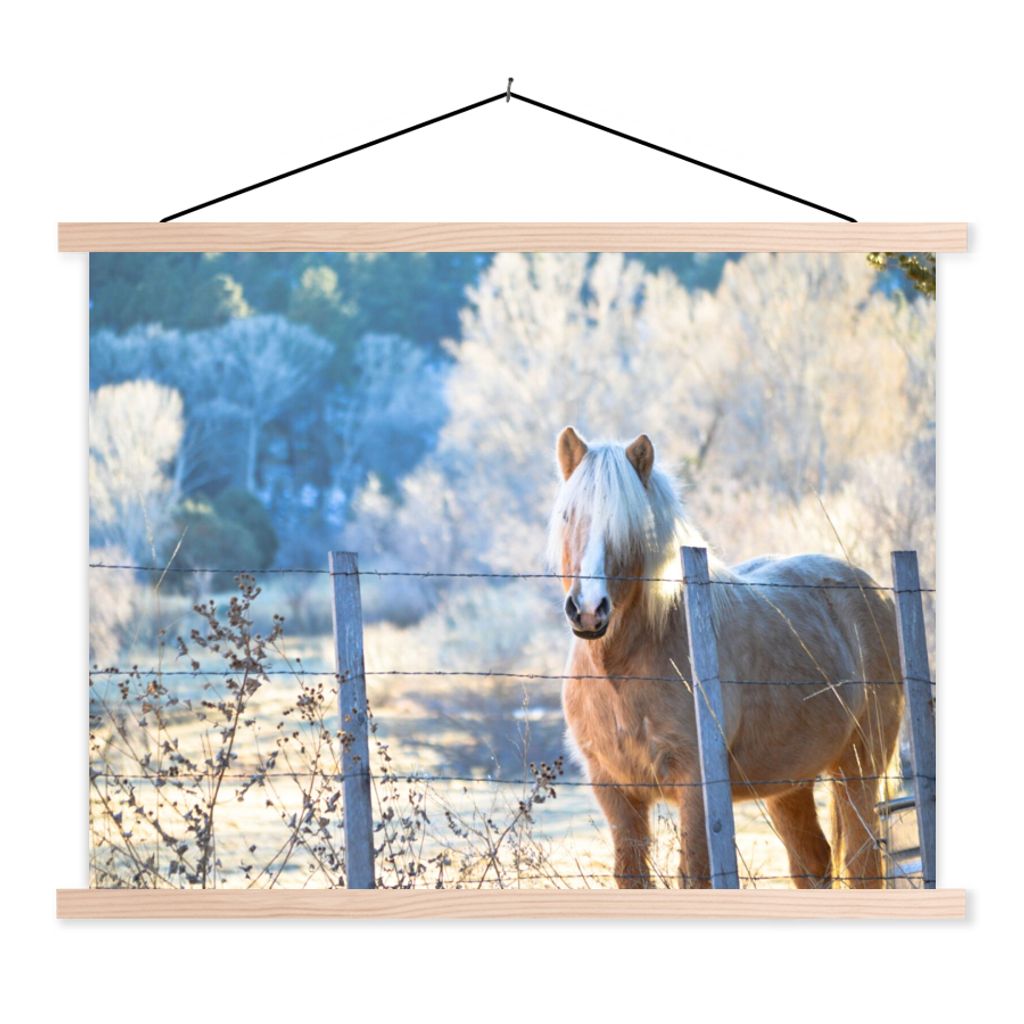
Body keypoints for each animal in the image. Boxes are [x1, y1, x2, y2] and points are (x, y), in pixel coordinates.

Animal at [548, 426, 905, 889]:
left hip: (858, 770)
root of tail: (874, 590)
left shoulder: (696, 789)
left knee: (863, 866)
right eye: (568, 516)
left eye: (631, 526)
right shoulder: (615, 792)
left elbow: (697, 876)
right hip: (790, 782)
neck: (621, 673)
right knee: (813, 862)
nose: (589, 610)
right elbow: (632, 877)